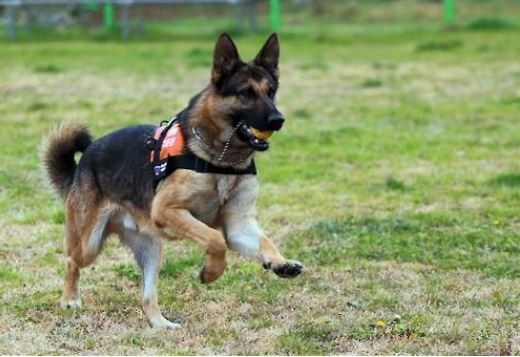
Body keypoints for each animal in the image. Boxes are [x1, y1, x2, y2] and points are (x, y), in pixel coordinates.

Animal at [43, 33, 304, 328]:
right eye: (246, 92)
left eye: (271, 91)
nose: (278, 119)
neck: (221, 161)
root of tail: (85, 159)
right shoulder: (167, 210)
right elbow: (215, 239)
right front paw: (210, 273)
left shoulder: (238, 225)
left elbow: (263, 242)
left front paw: (280, 262)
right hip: (89, 243)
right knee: (71, 261)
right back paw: (70, 299)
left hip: (151, 251)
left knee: (147, 298)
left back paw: (160, 325)